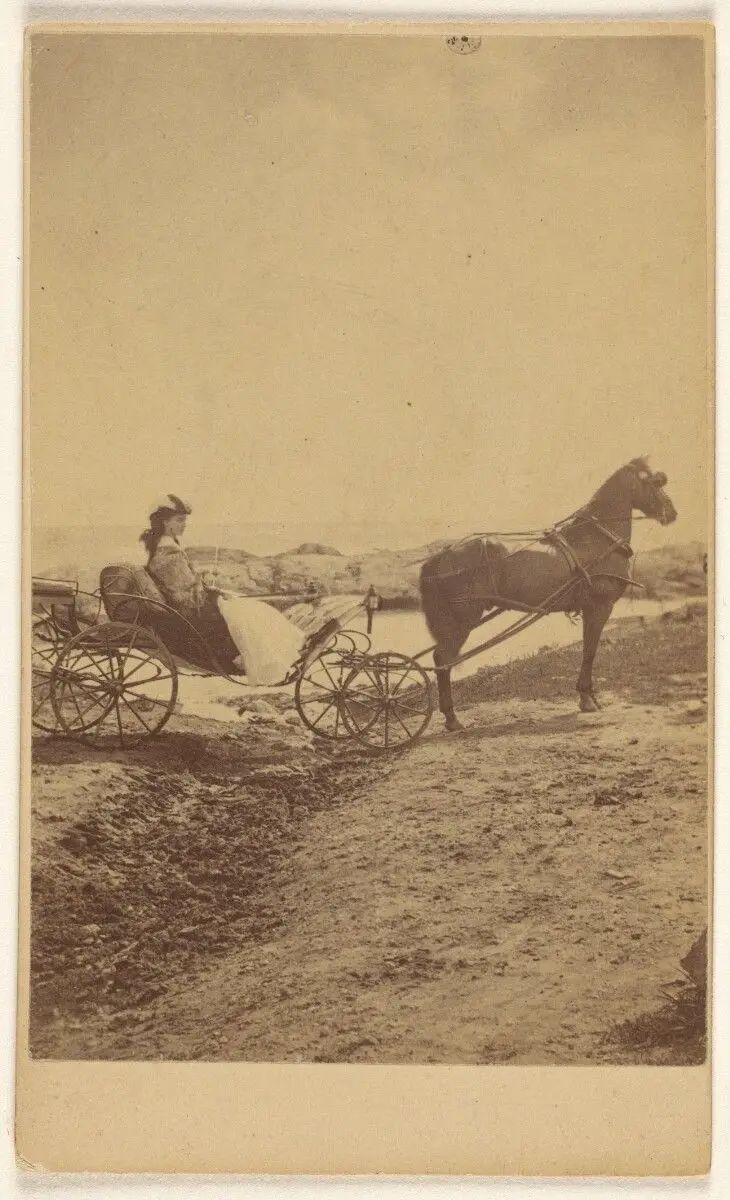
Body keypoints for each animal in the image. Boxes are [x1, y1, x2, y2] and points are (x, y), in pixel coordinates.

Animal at [419, 458, 678, 731]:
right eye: (655, 482)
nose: (672, 512)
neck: (597, 538)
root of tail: (441, 556)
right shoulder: (600, 606)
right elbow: (589, 651)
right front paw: (587, 699)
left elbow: (588, 649)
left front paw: (588, 697)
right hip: (462, 621)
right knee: (443, 660)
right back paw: (452, 718)